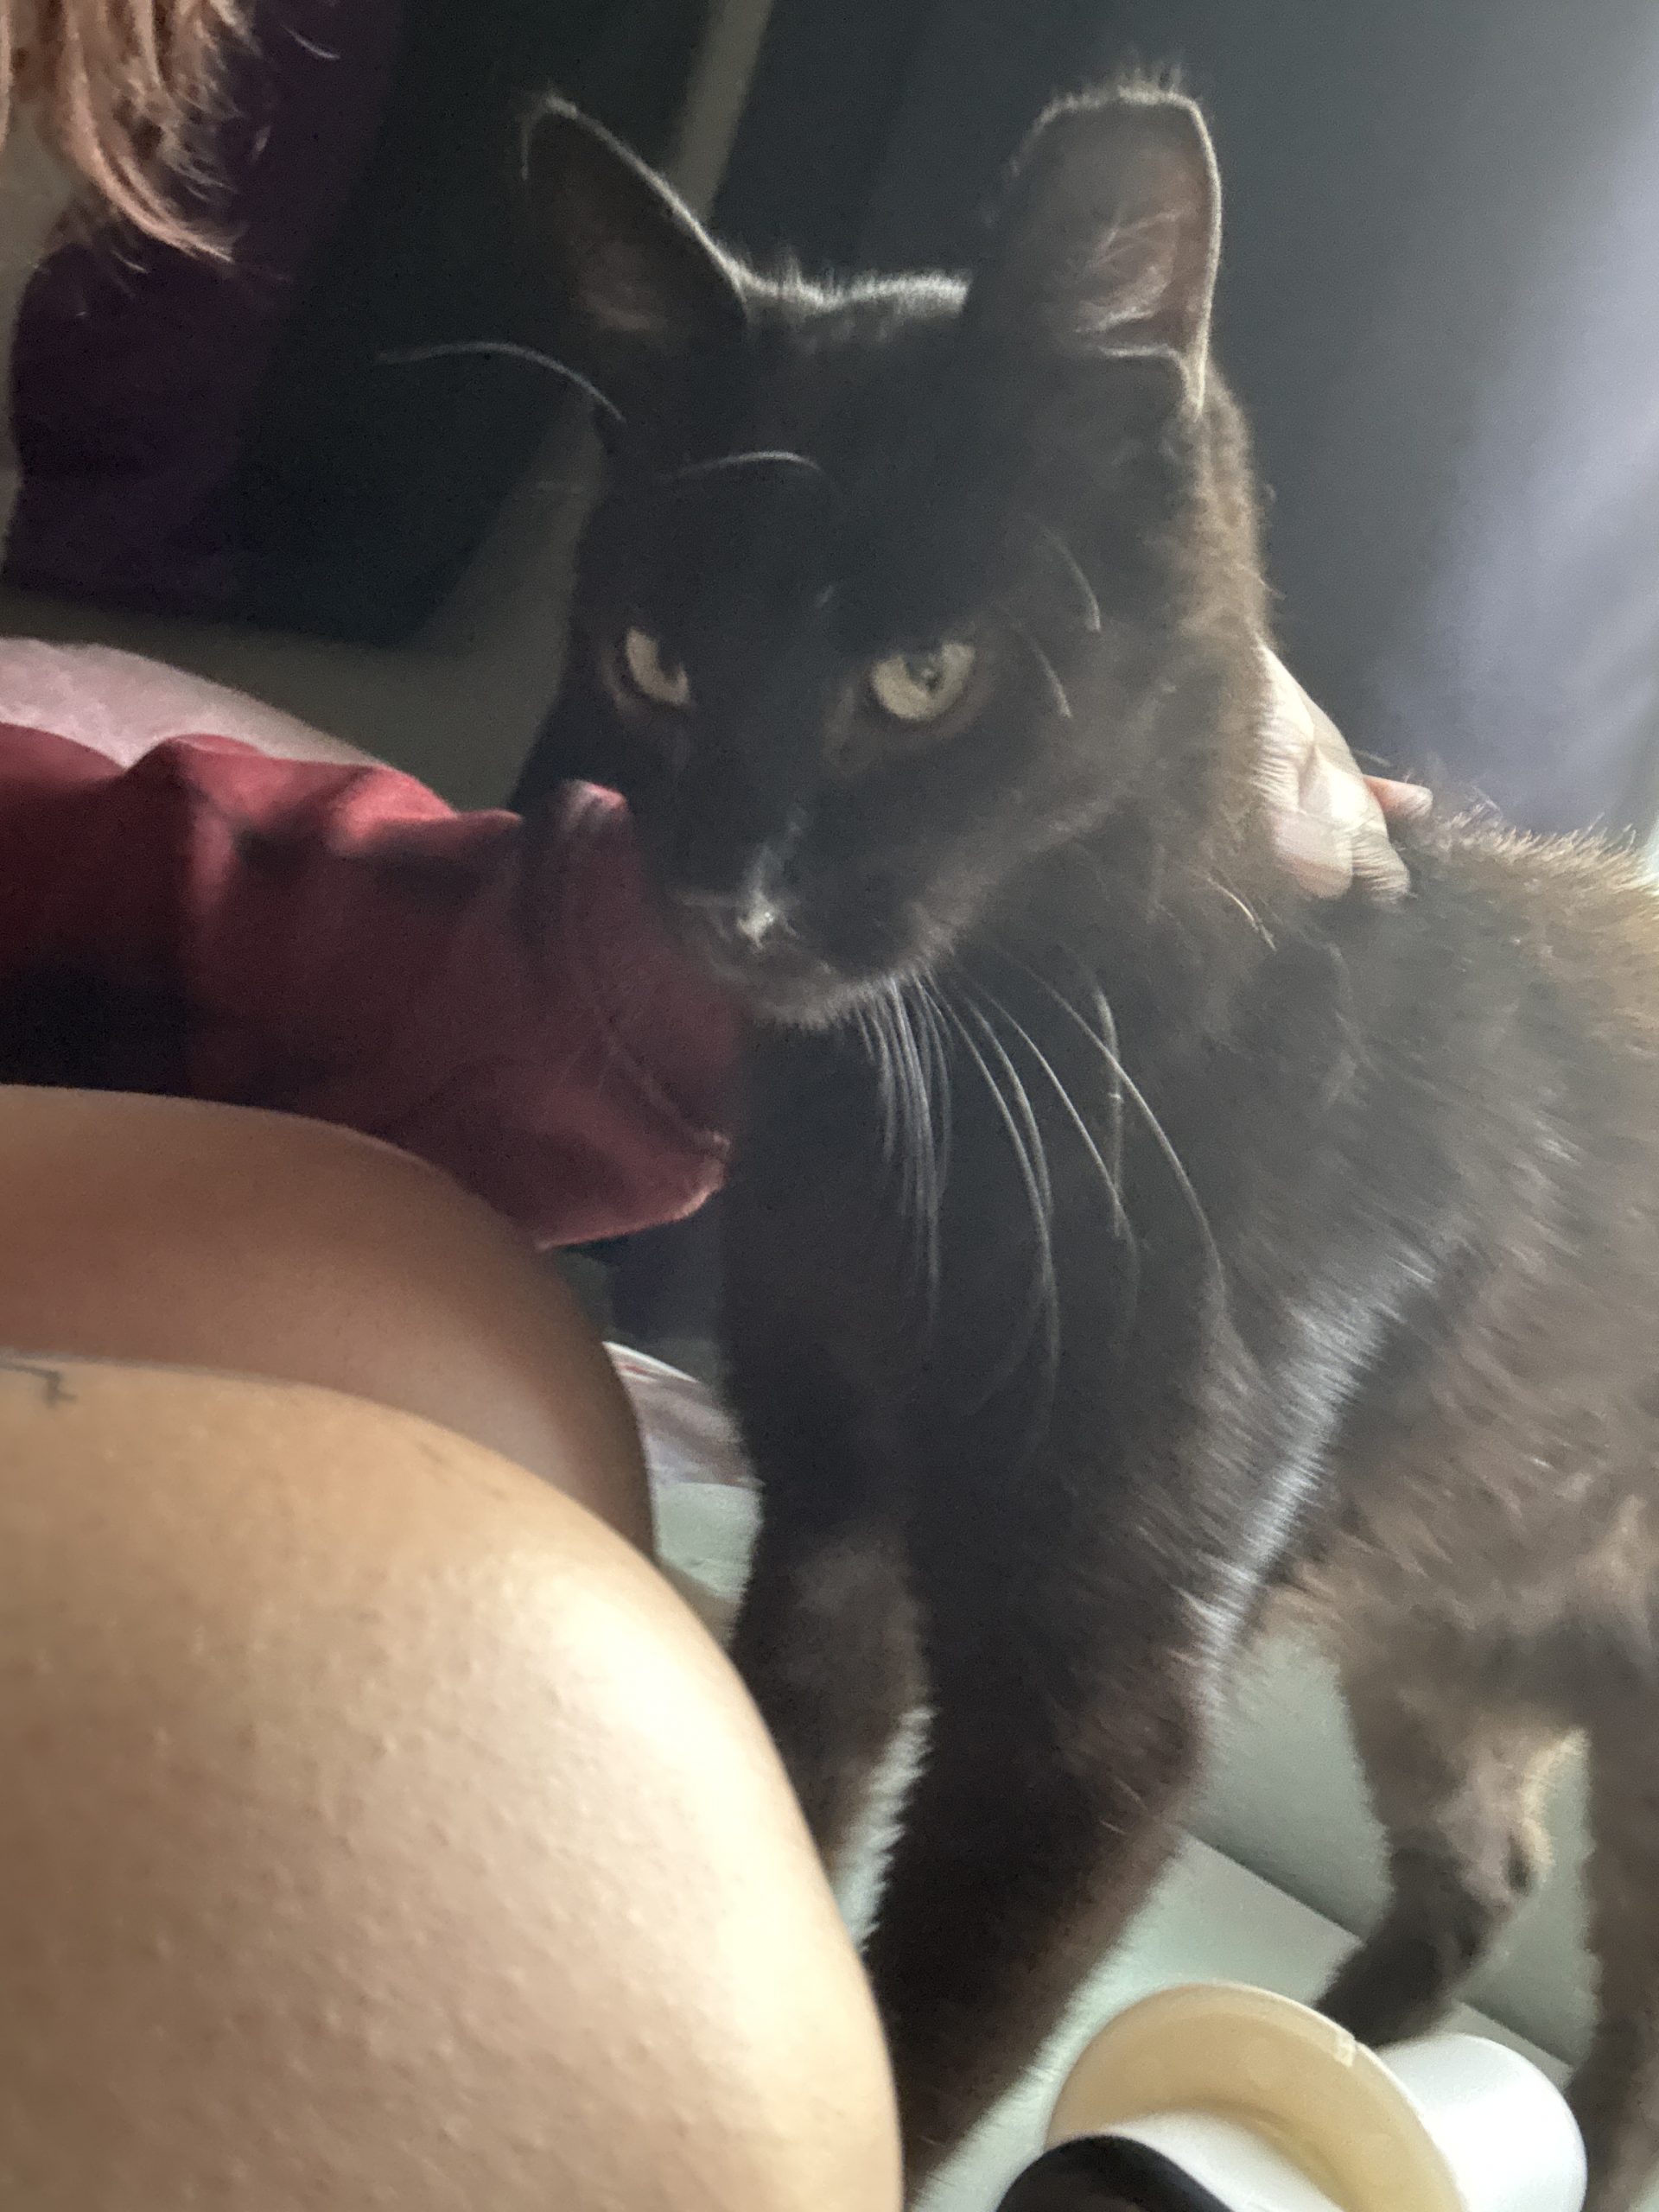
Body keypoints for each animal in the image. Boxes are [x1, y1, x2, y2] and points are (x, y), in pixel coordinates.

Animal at [524, 84, 1659, 2209]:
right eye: (656, 664)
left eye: (922, 679)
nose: (724, 891)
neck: (949, 1121)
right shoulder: (834, 1535)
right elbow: (792, 1831)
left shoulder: (1098, 1714)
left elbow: (925, 2033)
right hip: (1440, 1638)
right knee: (1489, 1861)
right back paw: (1357, 2066)